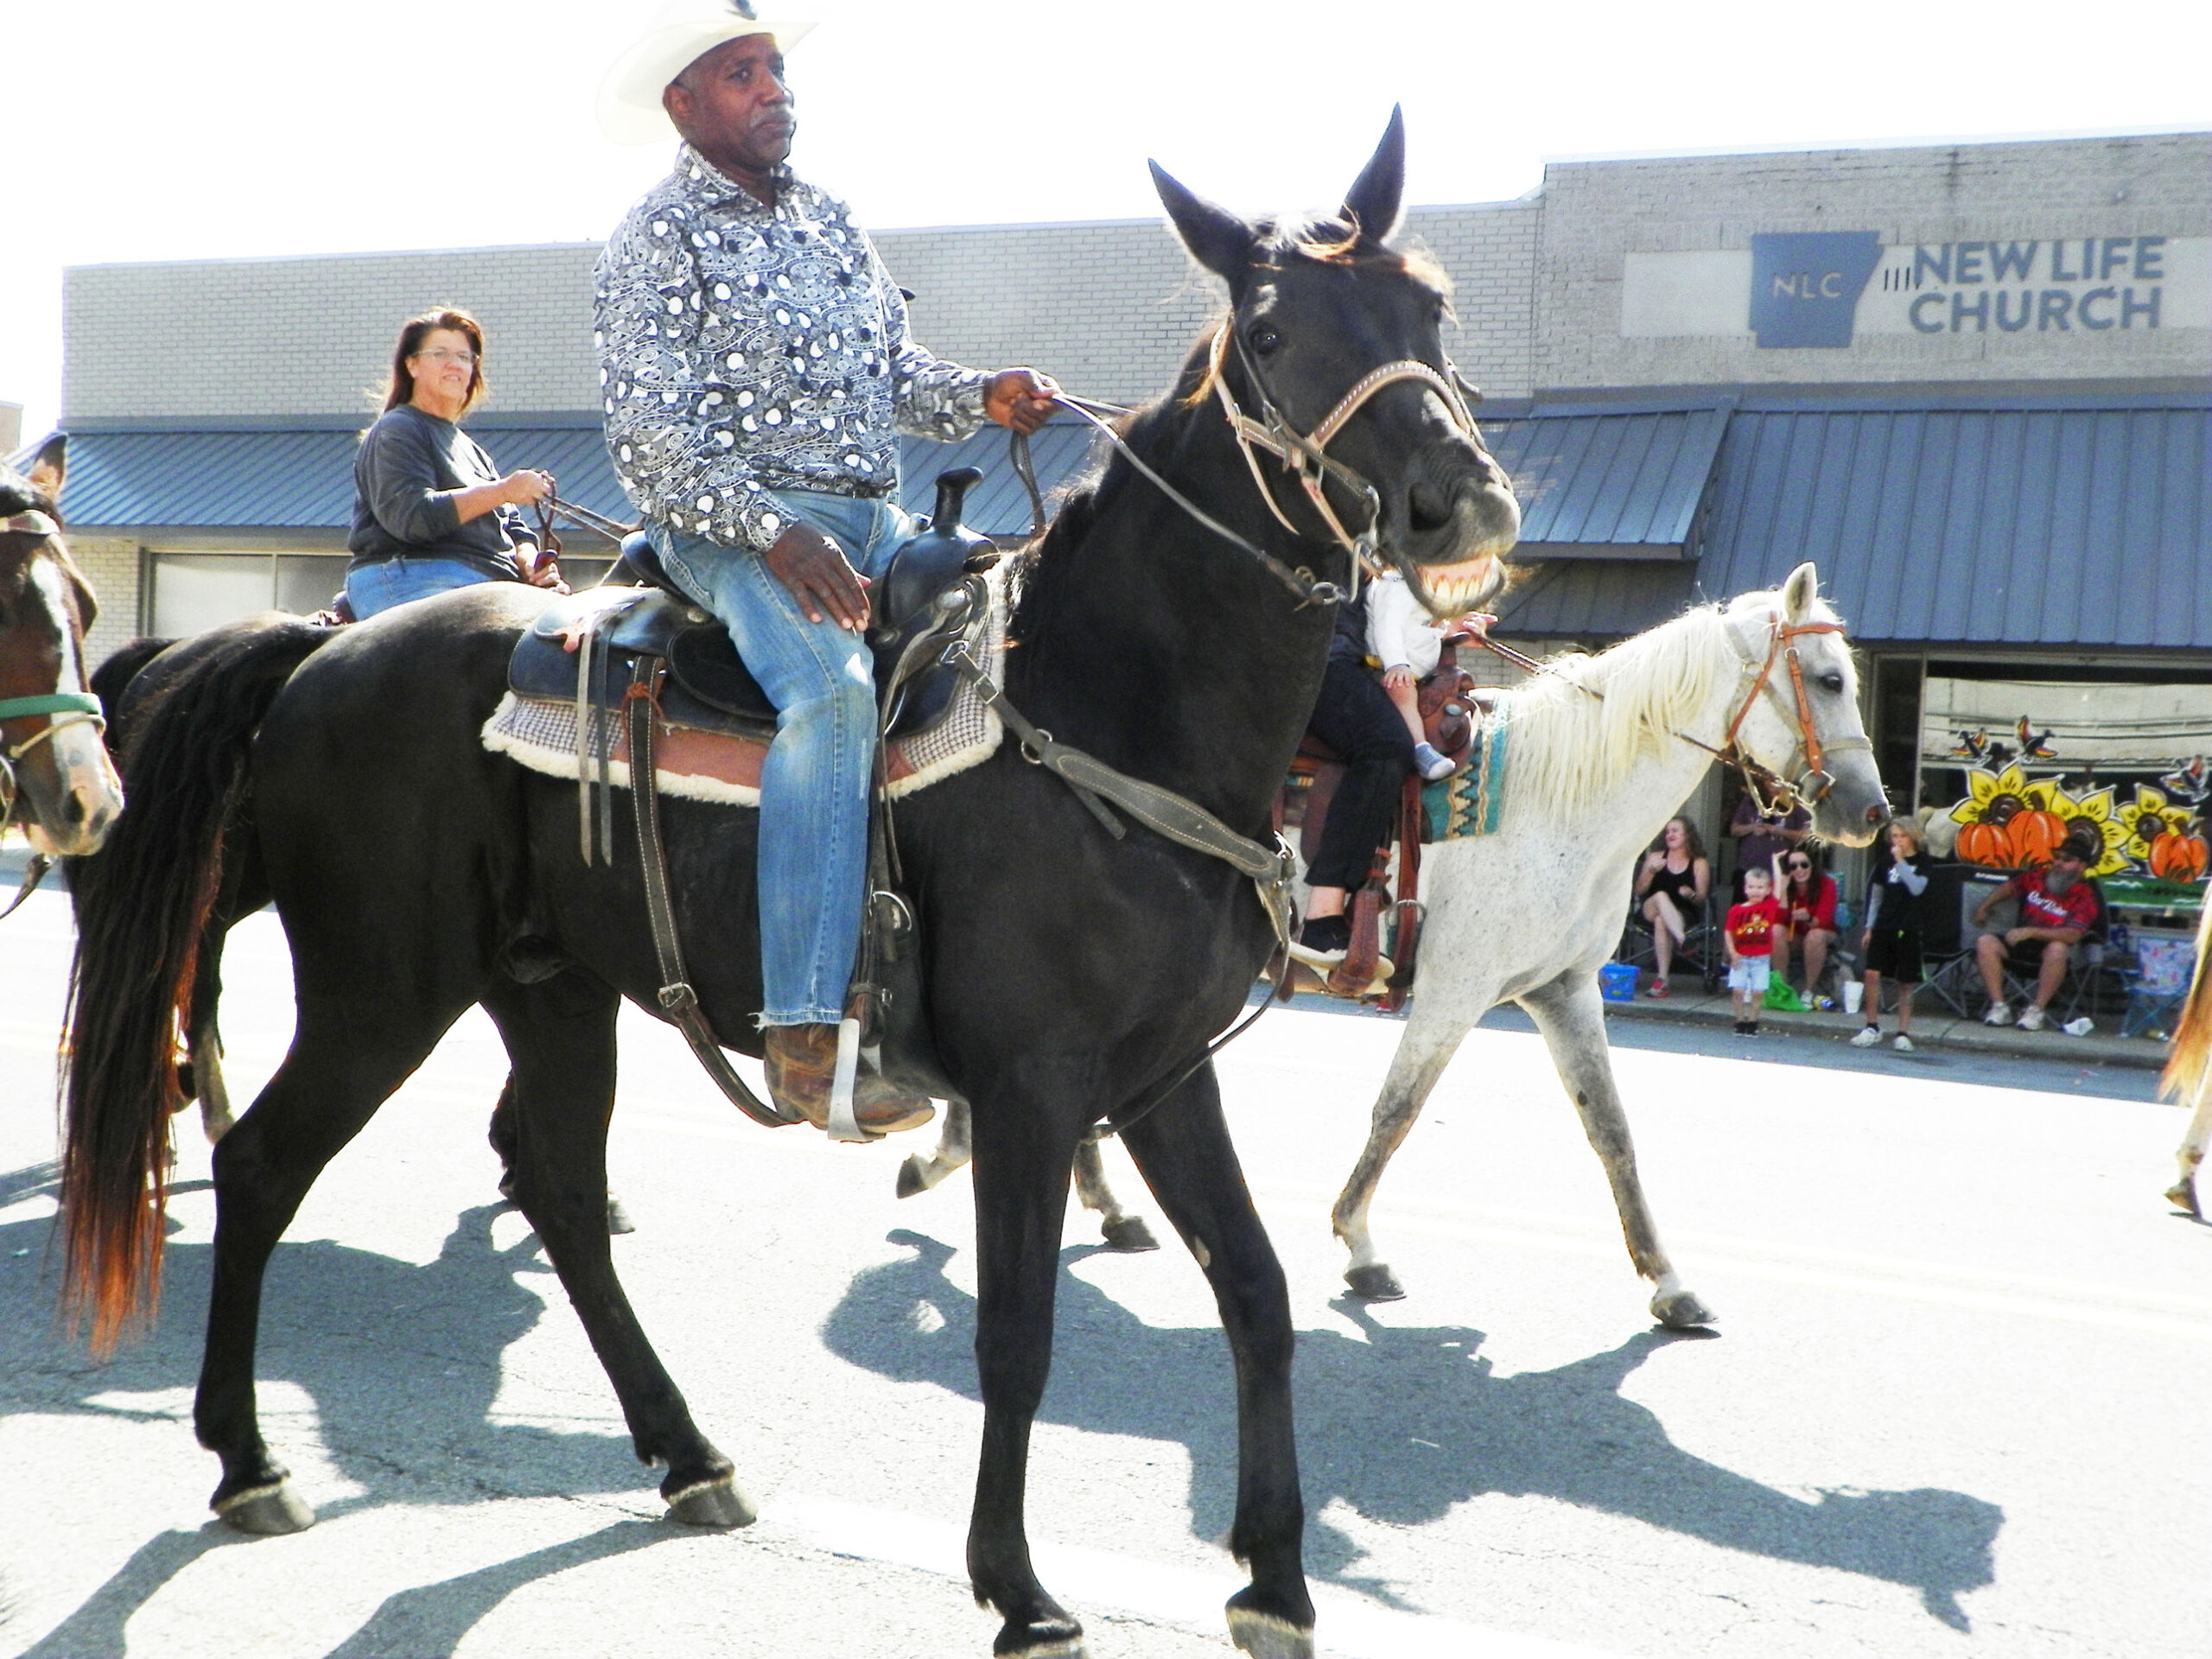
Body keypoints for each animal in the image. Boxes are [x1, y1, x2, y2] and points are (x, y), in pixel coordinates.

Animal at [55, 123, 1522, 1659]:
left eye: (1429, 309)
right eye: (1276, 330)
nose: (1461, 503)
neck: (1105, 708)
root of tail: (317, 654)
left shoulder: (1167, 1073)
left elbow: (1257, 1289)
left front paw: (1276, 1578)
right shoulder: (1033, 1086)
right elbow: (1018, 1331)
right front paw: (1016, 1585)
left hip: (549, 989)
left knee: (559, 1188)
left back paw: (687, 1454)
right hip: (378, 988)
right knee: (266, 1163)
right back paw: (245, 1460)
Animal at [898, 566, 1885, 1336]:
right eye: (1830, 678)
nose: (1870, 813)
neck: (1558, 800)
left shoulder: (1565, 990)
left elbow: (1612, 1133)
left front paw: (1671, 1285)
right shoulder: (1456, 990)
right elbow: (1397, 1112)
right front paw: (1361, 1246)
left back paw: (1087, 1198)